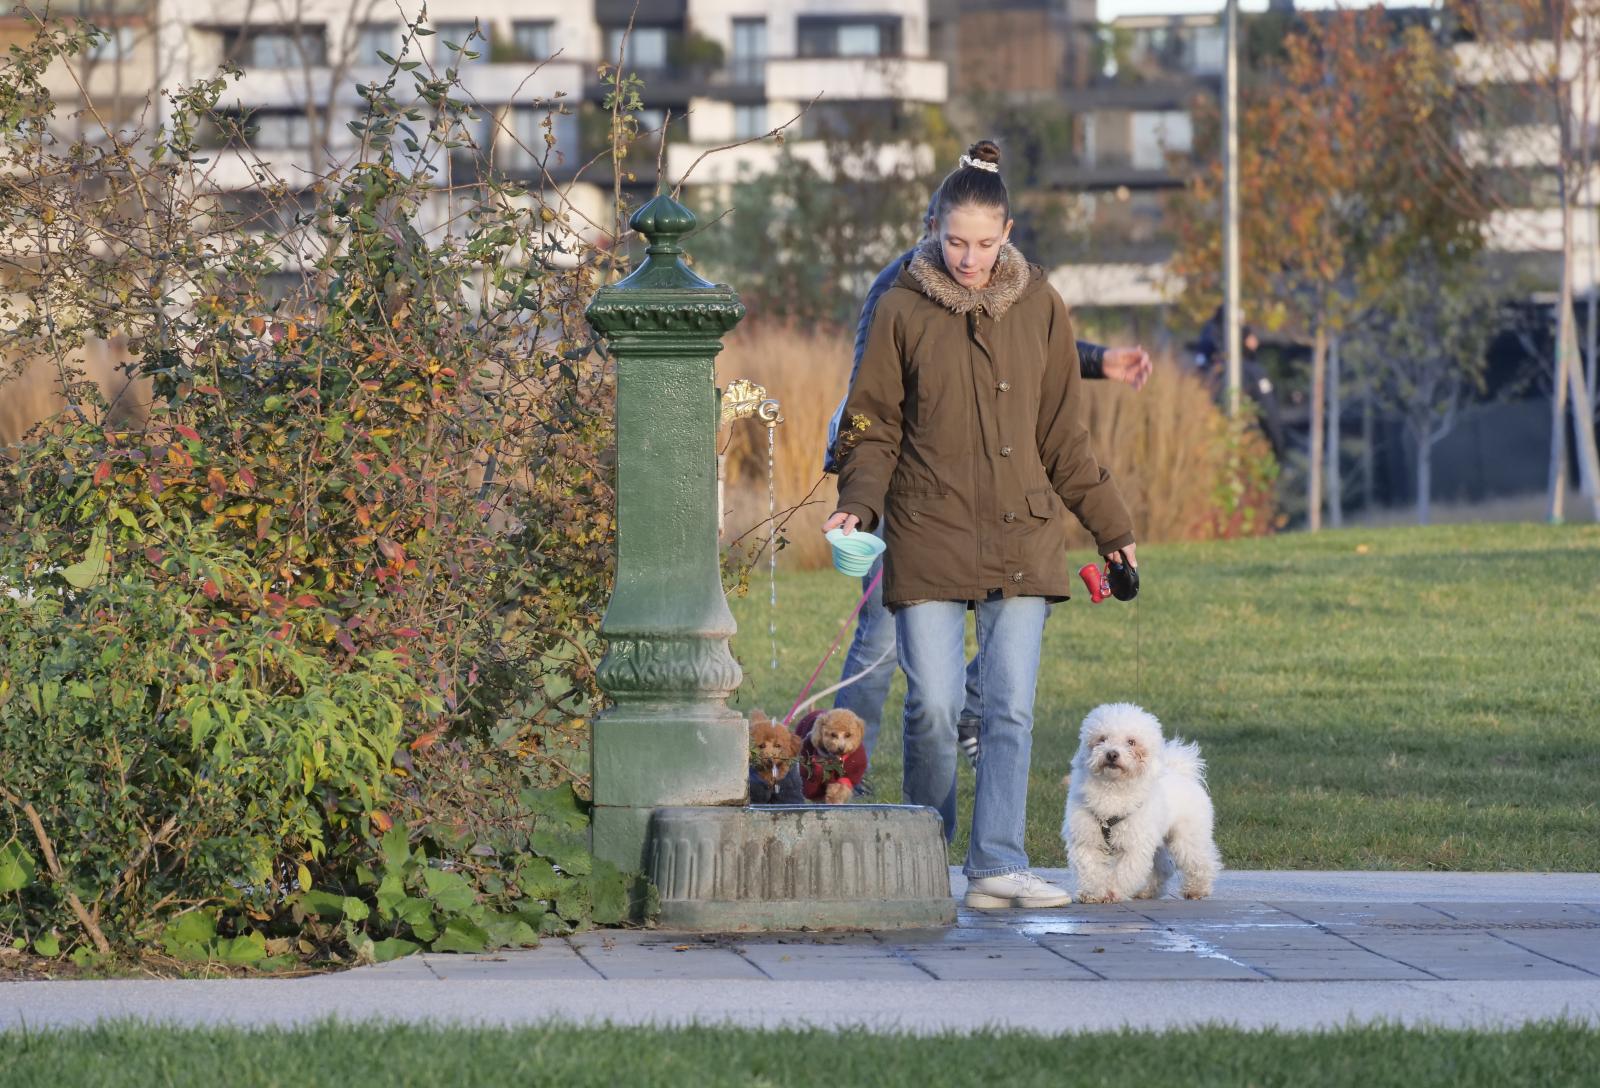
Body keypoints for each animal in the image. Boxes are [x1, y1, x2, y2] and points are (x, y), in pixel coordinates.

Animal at [1062, 704, 1222, 902]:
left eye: (1131, 742)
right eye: (1102, 739)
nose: (1112, 754)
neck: (1113, 788)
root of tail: (1181, 772)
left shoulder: (1134, 845)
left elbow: (1124, 872)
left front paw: (1112, 892)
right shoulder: (1086, 840)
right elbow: (1091, 869)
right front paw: (1093, 893)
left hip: (1188, 836)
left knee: (1200, 860)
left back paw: (1197, 889)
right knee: (1163, 867)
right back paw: (1147, 891)